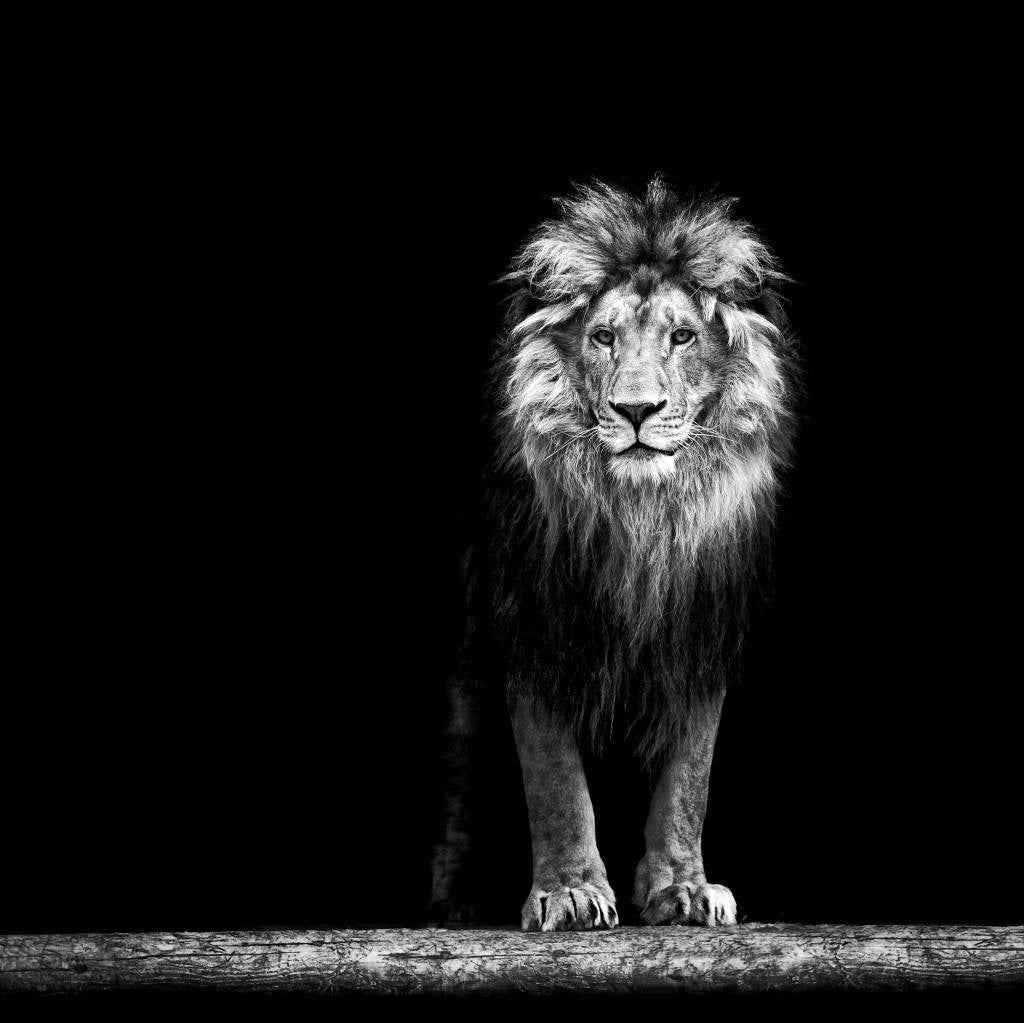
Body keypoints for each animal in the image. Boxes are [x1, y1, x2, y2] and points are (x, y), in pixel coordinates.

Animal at [430, 178, 798, 931]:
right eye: (603, 337)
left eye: (683, 336)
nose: (635, 410)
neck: (641, 520)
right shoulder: (535, 624)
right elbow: (555, 781)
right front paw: (570, 891)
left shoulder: (699, 631)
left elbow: (689, 778)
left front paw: (683, 888)